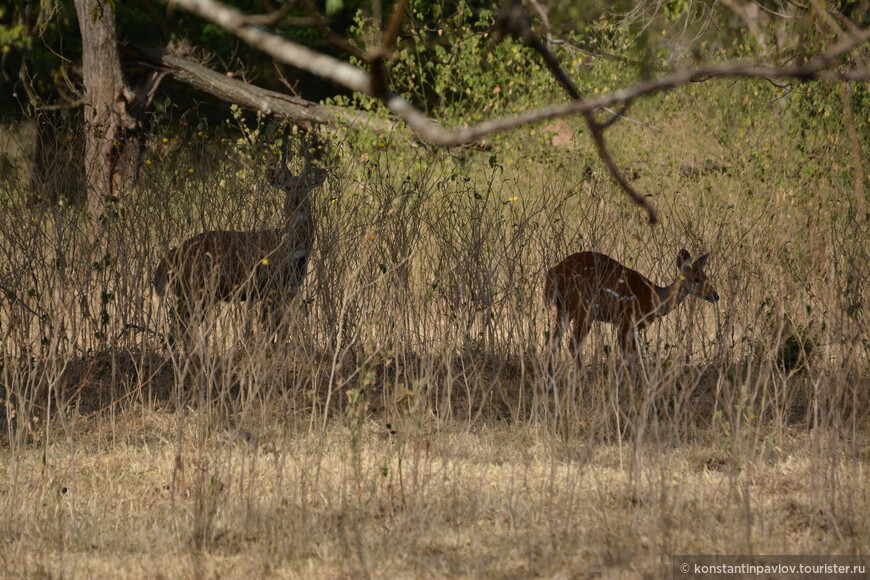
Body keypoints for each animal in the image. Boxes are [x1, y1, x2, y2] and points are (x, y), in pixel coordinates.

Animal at [152, 130, 328, 344]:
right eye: (287, 186)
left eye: (306, 186)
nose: (296, 202)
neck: (291, 248)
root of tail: (170, 255)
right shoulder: (270, 288)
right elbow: (268, 331)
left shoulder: (288, 290)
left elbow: (280, 331)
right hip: (195, 291)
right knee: (176, 331)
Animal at [544, 247, 724, 374]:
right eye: (697, 279)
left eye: (707, 277)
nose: (715, 295)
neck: (654, 298)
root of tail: (554, 273)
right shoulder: (626, 319)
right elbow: (627, 355)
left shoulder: (631, 326)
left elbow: (632, 355)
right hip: (585, 307)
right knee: (573, 344)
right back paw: (581, 376)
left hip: (564, 309)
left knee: (554, 341)